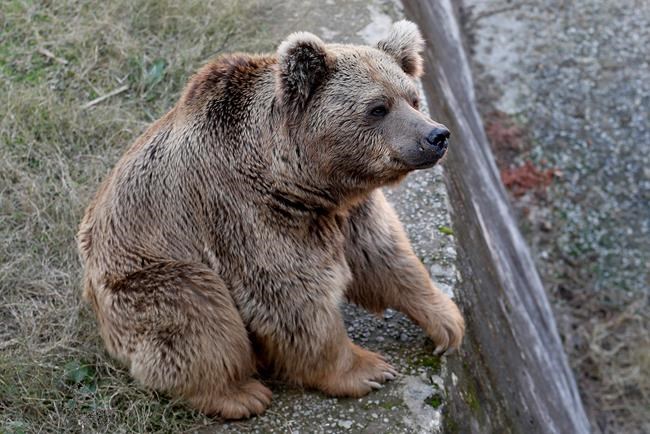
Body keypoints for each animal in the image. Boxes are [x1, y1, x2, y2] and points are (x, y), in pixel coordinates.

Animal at [77, 20, 465, 419]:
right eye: (377, 108)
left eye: (412, 98)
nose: (437, 135)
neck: (304, 182)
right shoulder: (249, 215)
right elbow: (291, 296)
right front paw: (367, 368)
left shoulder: (348, 211)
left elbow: (384, 256)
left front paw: (447, 322)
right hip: (141, 280)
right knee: (196, 312)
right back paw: (238, 394)